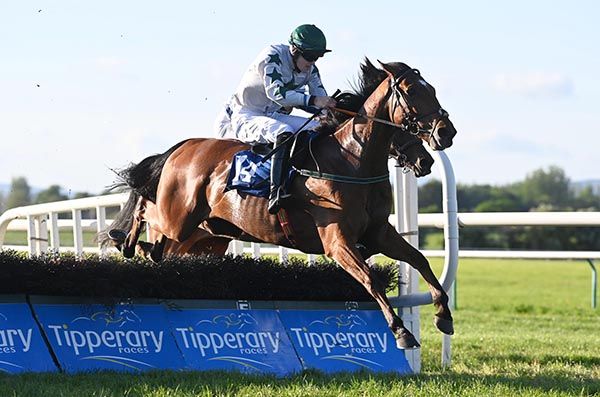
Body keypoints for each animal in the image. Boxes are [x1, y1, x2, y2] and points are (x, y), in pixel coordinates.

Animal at [105, 58, 458, 346]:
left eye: (433, 89)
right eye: (411, 92)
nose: (446, 133)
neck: (352, 161)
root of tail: (183, 146)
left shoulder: (379, 232)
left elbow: (420, 260)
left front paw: (443, 314)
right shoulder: (337, 241)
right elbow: (370, 278)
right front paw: (401, 330)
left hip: (204, 235)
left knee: (159, 248)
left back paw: (140, 248)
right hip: (178, 219)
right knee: (146, 208)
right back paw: (123, 238)